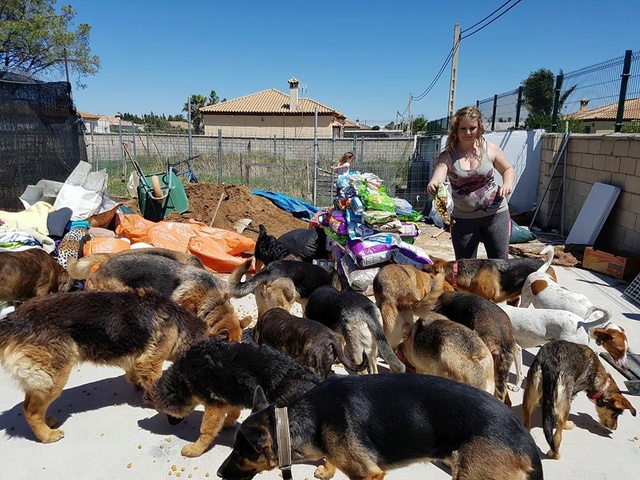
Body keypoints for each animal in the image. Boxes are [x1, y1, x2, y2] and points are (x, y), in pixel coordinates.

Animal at [0, 288, 205, 442]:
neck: (179, 324)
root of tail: (13, 321)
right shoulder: (151, 362)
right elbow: (155, 383)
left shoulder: (137, 359)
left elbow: (134, 372)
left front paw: (141, 387)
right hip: (53, 377)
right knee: (31, 411)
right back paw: (47, 435)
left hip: (41, 378)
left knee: (27, 403)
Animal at [145, 338, 320, 458]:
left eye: (167, 413)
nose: (171, 423)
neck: (182, 378)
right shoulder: (228, 397)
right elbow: (232, 412)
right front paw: (226, 424)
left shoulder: (213, 404)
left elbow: (205, 429)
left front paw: (196, 448)